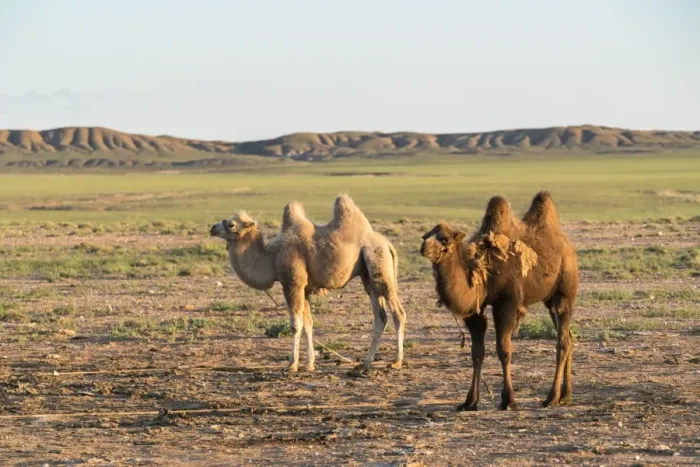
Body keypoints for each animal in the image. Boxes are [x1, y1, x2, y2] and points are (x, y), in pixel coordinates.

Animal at [209, 194, 407, 374]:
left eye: (231, 224)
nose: (212, 228)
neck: (272, 257)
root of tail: (388, 244)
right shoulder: (305, 288)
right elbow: (308, 324)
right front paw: (309, 364)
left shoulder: (293, 284)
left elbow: (296, 324)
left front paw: (292, 365)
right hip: (368, 278)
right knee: (380, 317)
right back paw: (365, 364)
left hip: (379, 264)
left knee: (398, 313)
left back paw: (396, 362)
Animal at [420, 191, 579, 411]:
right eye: (425, 235)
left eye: (444, 239)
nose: (423, 247)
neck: (482, 273)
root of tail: (569, 247)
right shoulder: (474, 310)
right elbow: (477, 352)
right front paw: (469, 401)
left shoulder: (507, 303)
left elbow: (503, 350)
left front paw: (508, 400)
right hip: (549, 301)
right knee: (569, 338)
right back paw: (566, 395)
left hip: (564, 293)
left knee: (562, 342)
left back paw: (551, 397)